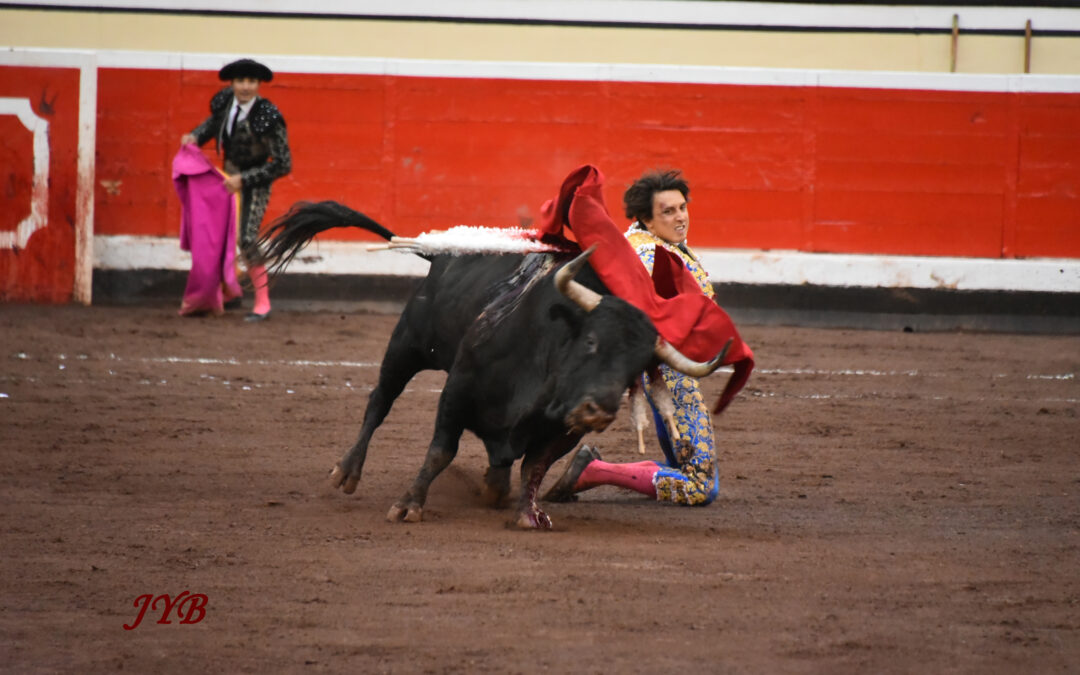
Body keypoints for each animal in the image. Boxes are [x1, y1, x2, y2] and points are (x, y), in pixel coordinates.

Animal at [254, 203, 725, 529]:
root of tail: (442, 256)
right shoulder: (458, 389)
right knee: (379, 400)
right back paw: (347, 471)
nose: (598, 411)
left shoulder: (563, 431)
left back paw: (495, 486)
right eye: (591, 341)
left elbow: (534, 466)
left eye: (637, 368)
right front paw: (408, 505)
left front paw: (528, 514)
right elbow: (441, 451)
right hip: (407, 343)